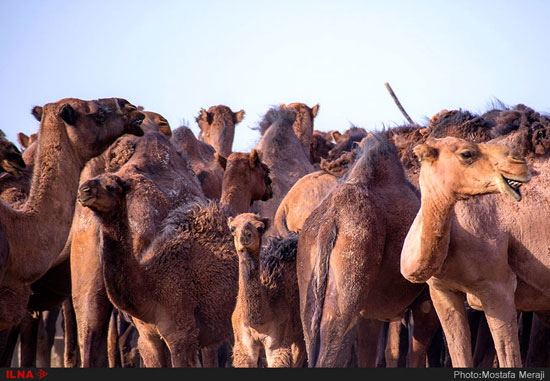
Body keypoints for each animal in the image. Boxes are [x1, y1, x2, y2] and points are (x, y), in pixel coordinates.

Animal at [78, 148, 272, 366]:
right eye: (265, 171)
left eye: (111, 186)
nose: (84, 190)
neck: (150, 285)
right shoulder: (149, 338)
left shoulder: (182, 335)